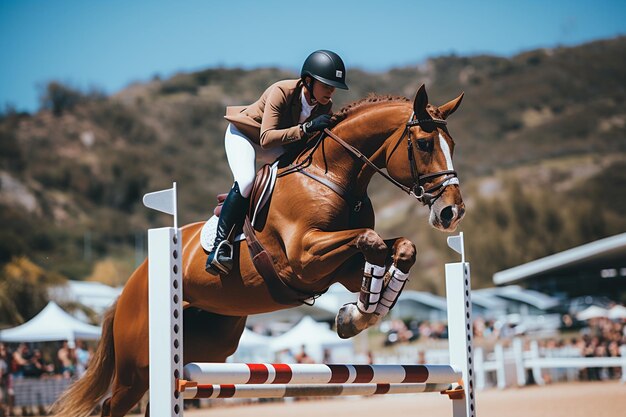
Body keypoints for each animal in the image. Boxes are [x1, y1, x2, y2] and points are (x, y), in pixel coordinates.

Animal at [51, 83, 464, 414]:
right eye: (425, 144)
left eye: (453, 145)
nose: (452, 212)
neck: (332, 175)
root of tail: (129, 287)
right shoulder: (305, 257)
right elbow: (372, 241)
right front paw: (357, 315)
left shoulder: (341, 268)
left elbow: (401, 249)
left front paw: (357, 314)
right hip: (136, 367)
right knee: (112, 405)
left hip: (208, 347)